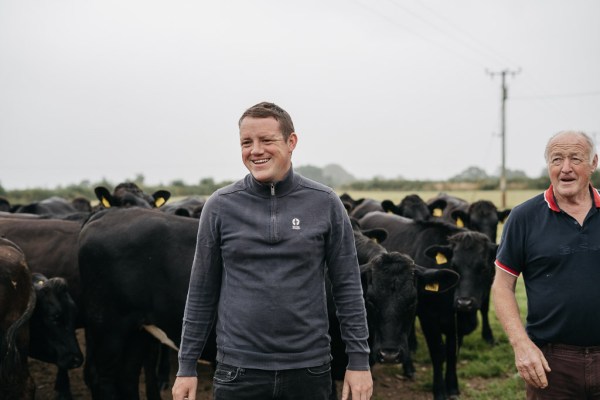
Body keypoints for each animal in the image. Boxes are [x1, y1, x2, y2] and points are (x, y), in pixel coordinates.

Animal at [358, 211, 494, 398]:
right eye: (454, 265)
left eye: (484, 268)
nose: (464, 302)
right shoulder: (429, 319)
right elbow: (438, 353)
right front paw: (440, 390)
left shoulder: (456, 326)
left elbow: (452, 354)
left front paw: (453, 386)